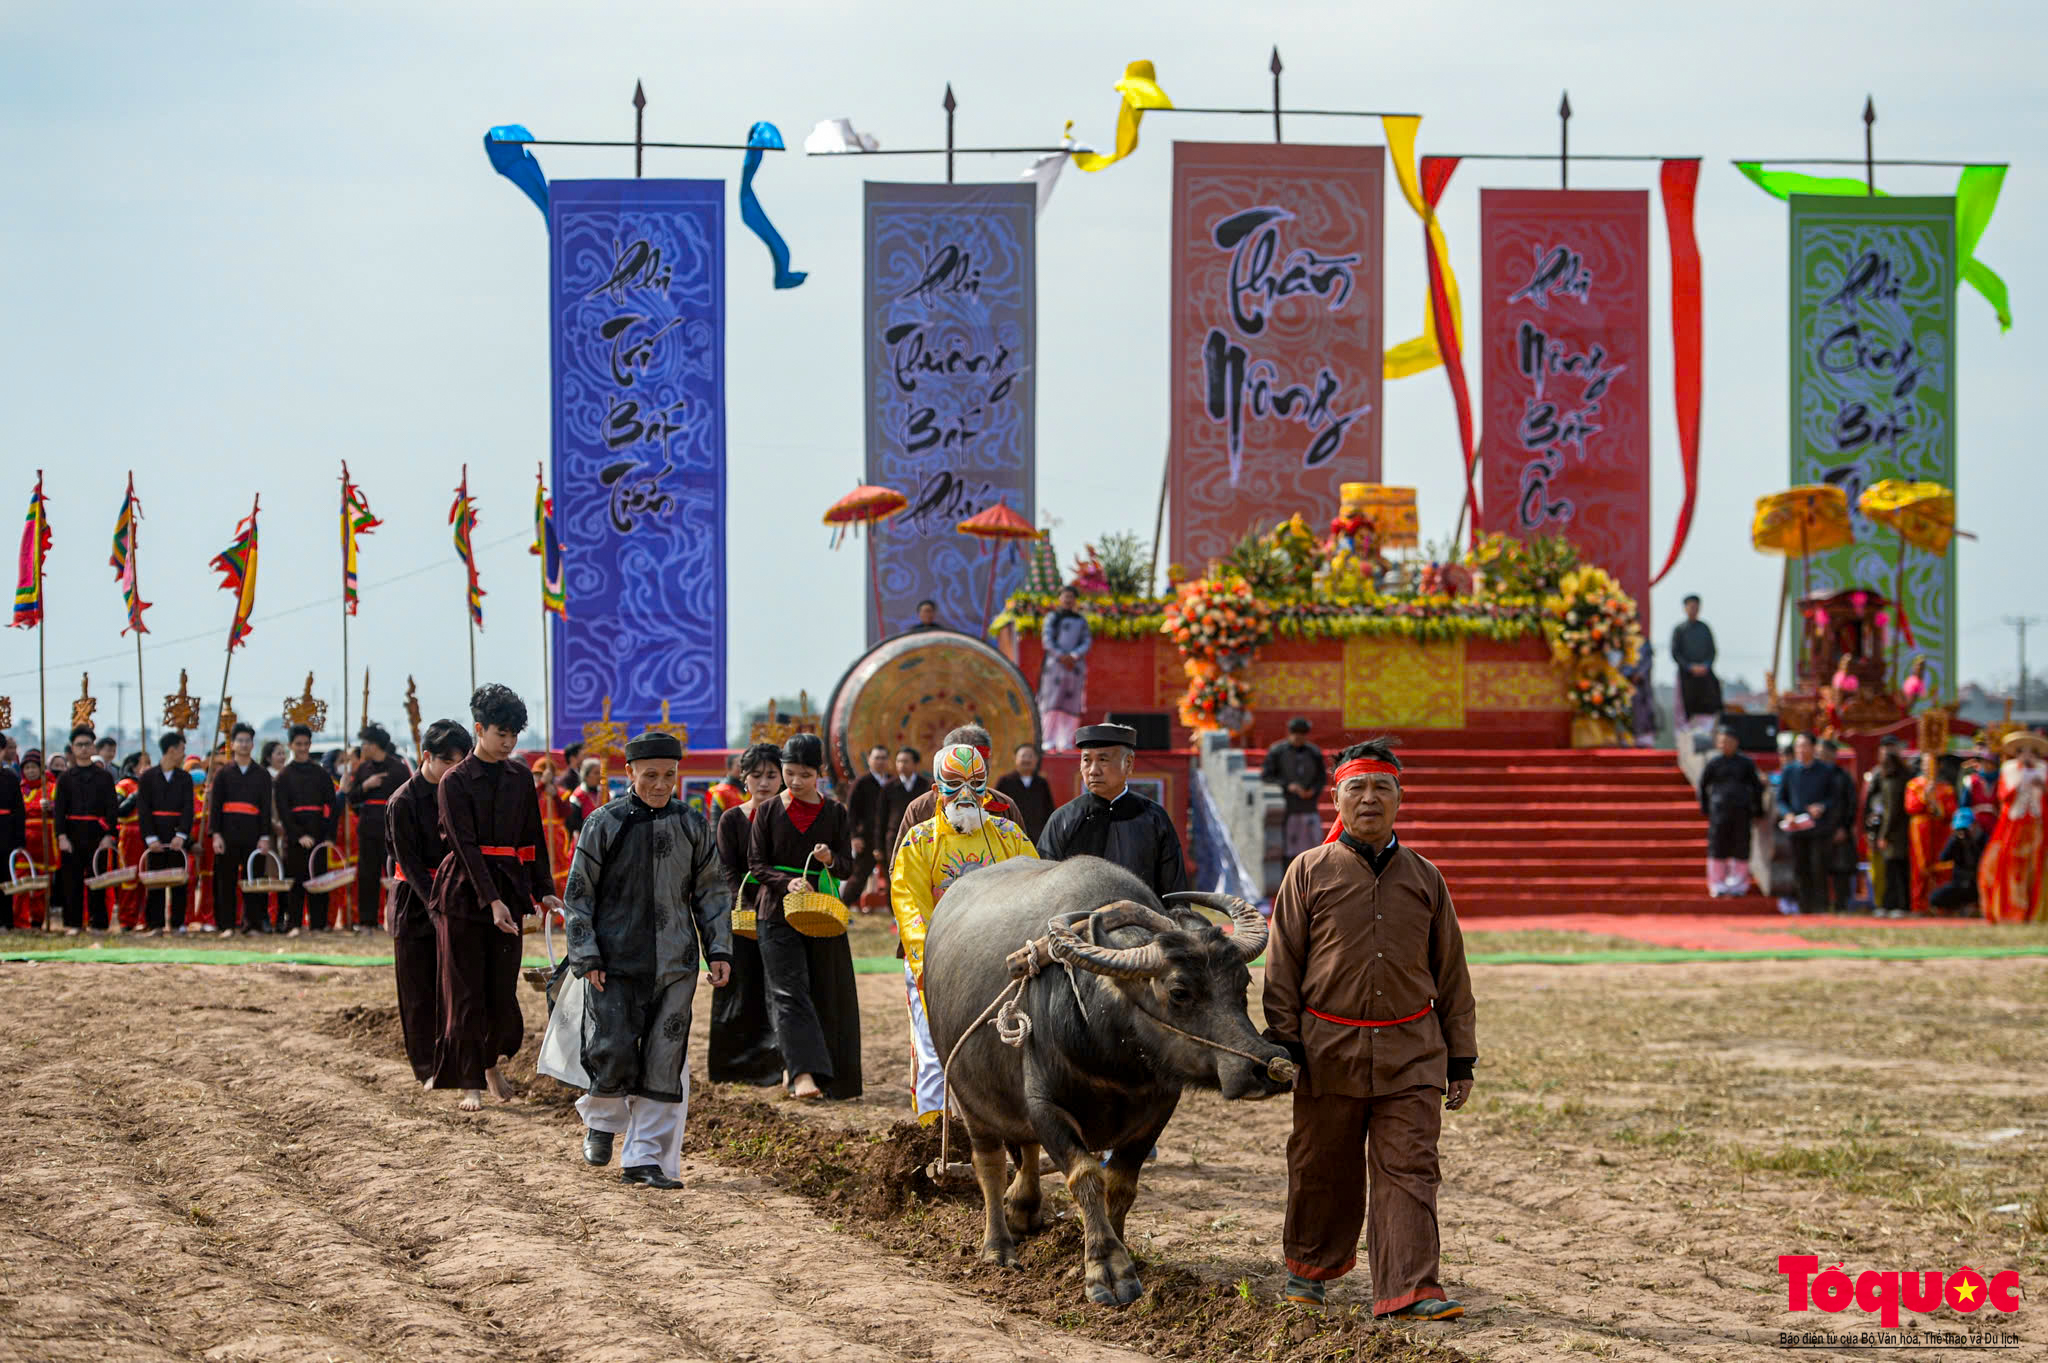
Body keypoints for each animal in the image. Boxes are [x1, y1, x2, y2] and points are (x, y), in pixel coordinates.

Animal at [921, 855, 1286, 1301]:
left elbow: (1121, 1184)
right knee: (987, 1164)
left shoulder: (1156, 1110)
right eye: (1179, 992)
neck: (1114, 1054)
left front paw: (1126, 1250)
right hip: (969, 1098)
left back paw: (1023, 1209)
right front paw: (1107, 1268)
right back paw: (998, 1246)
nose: (1265, 1065)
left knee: (1024, 1149)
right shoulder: (1045, 1106)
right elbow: (1085, 1176)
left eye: (1243, 982)